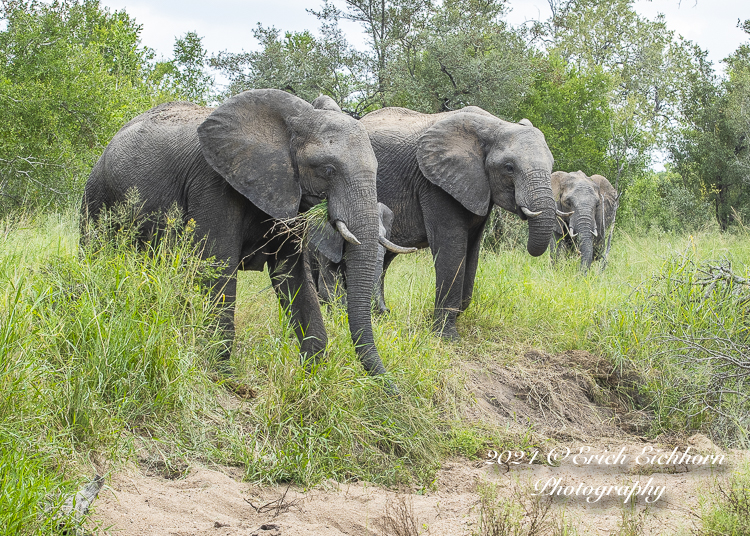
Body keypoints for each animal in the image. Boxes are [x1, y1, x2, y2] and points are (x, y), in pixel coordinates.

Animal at [83, 88, 394, 376]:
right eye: (328, 169)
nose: (392, 389)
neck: (291, 123)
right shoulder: (213, 184)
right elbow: (218, 265)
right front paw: (222, 375)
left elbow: (291, 274)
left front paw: (312, 375)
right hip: (96, 194)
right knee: (95, 253)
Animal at [362, 106, 560, 338]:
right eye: (509, 167)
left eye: (552, 165)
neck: (495, 125)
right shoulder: (435, 183)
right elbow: (452, 248)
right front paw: (446, 336)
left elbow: (472, 250)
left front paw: (447, 318)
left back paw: (380, 314)